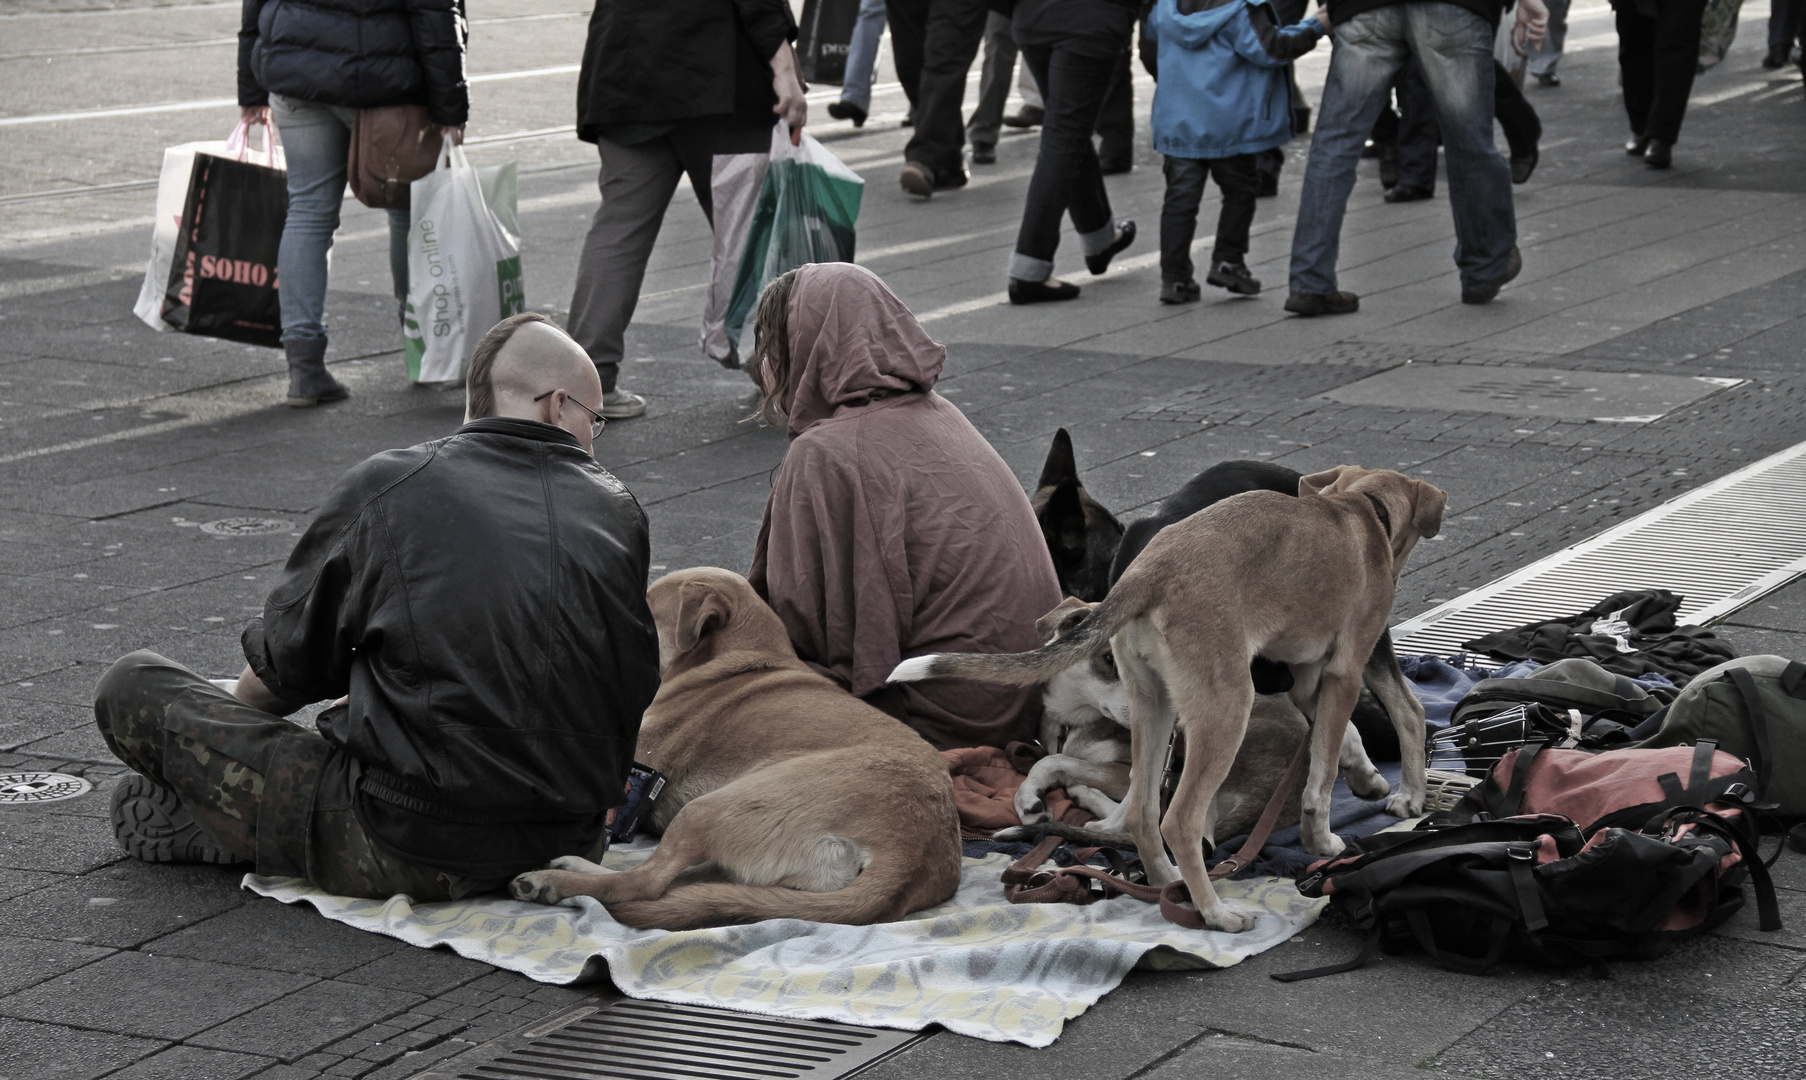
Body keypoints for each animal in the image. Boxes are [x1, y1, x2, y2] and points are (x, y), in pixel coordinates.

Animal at [509, 567, 968, 931]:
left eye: (644, 612)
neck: (745, 658)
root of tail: (912, 853)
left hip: (711, 807)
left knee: (645, 882)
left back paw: (555, 882)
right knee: (685, 885)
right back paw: (571, 866)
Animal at [895, 469, 1444, 931]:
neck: (1358, 507)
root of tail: (1147, 573)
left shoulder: (1307, 679)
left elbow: (1348, 736)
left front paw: (1377, 784)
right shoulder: (1344, 671)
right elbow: (1327, 770)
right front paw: (1327, 836)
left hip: (1154, 710)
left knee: (1143, 815)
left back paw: (1162, 883)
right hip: (1227, 710)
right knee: (1178, 821)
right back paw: (1215, 913)